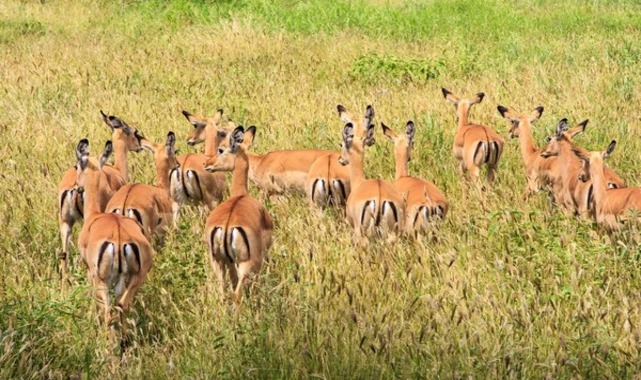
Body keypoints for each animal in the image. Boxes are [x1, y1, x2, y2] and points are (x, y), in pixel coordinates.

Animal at [57, 110, 144, 280]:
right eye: (133, 131)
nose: (140, 146)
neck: (117, 170)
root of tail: (72, 187)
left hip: (65, 223)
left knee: (64, 256)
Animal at [74, 140, 154, 342]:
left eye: (76, 166)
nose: (76, 187)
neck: (94, 215)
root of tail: (118, 236)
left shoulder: (90, 273)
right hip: (136, 276)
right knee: (122, 305)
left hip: (102, 280)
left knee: (110, 311)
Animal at [202, 126, 272, 302]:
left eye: (220, 149)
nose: (206, 164)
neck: (240, 195)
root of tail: (227, 226)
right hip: (247, 264)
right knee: (237, 293)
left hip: (219, 262)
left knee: (222, 292)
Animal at [336, 105, 404, 245]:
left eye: (342, 144)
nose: (341, 160)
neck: (359, 181)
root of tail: (379, 197)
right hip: (392, 235)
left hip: (362, 234)